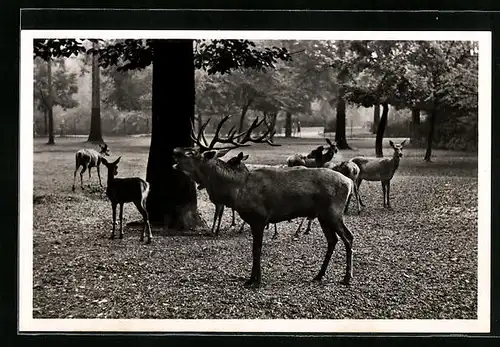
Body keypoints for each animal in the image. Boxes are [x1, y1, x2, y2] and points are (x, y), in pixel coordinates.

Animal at [174, 115, 354, 290]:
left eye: (192, 153)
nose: (175, 152)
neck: (237, 190)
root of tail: (349, 182)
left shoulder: (259, 217)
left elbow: (257, 249)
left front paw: (256, 280)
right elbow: (255, 249)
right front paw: (251, 279)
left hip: (333, 211)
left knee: (348, 237)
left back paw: (346, 277)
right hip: (322, 215)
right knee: (332, 240)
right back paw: (319, 275)